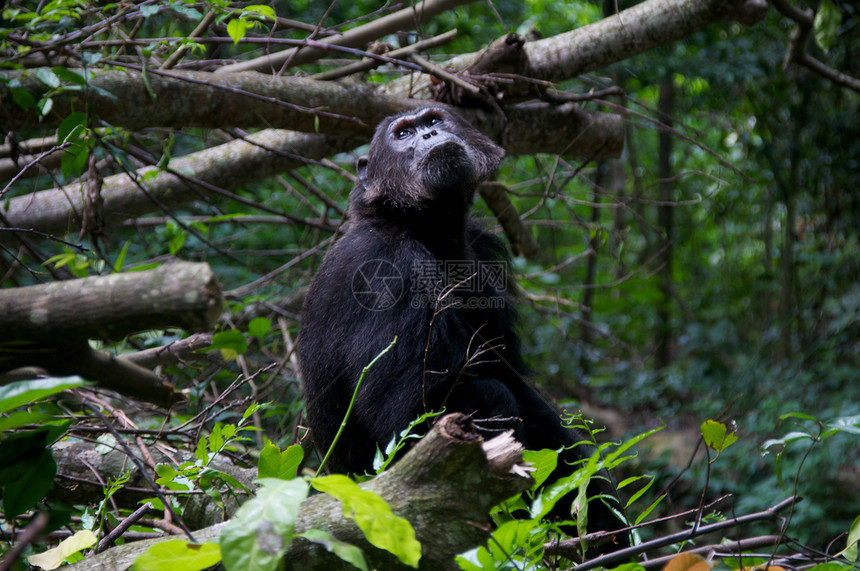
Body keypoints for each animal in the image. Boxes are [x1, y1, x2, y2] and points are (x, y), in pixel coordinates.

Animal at [298, 105, 628, 548]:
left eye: (434, 118)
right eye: (402, 134)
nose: (428, 134)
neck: (425, 228)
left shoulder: (486, 250)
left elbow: (518, 383)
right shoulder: (385, 274)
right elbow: (412, 412)